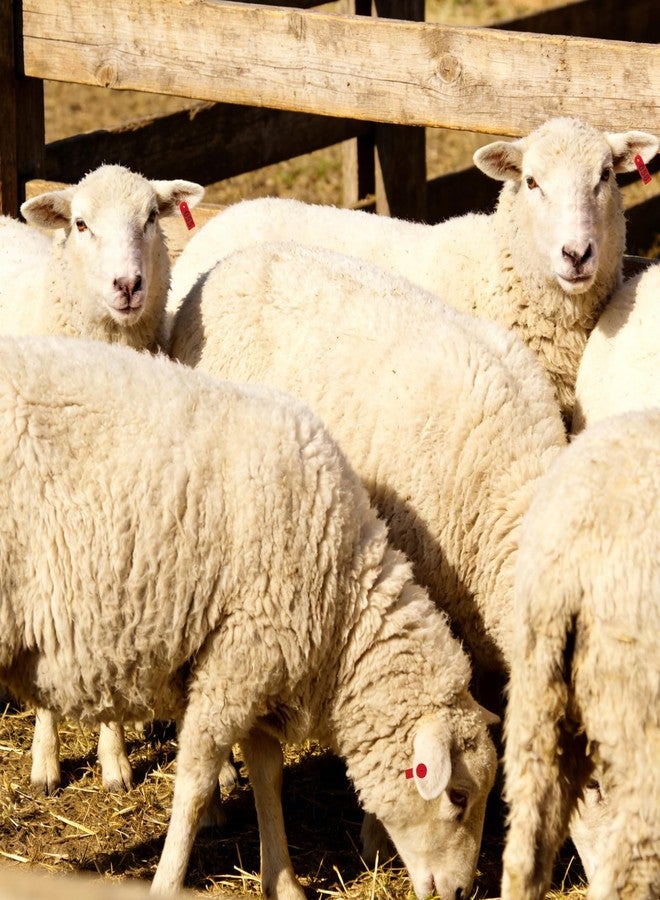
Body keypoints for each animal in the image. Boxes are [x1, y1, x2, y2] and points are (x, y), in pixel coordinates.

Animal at [0, 334, 499, 900]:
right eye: (458, 796)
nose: (461, 892)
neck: (341, 605)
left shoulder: (260, 670)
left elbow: (268, 775)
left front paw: (283, 880)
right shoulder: (235, 664)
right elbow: (194, 786)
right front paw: (169, 880)